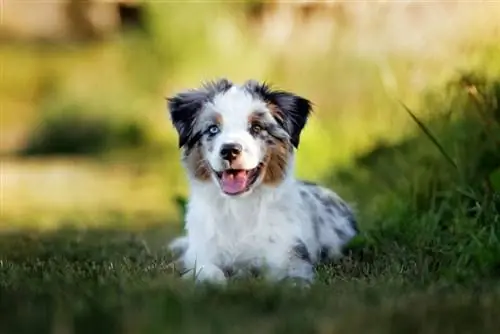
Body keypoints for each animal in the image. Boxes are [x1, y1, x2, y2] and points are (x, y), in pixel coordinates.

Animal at [166, 79, 358, 284]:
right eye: (213, 129)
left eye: (256, 128)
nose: (229, 150)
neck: (239, 208)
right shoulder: (201, 254)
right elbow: (208, 272)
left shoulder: (290, 256)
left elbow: (290, 279)